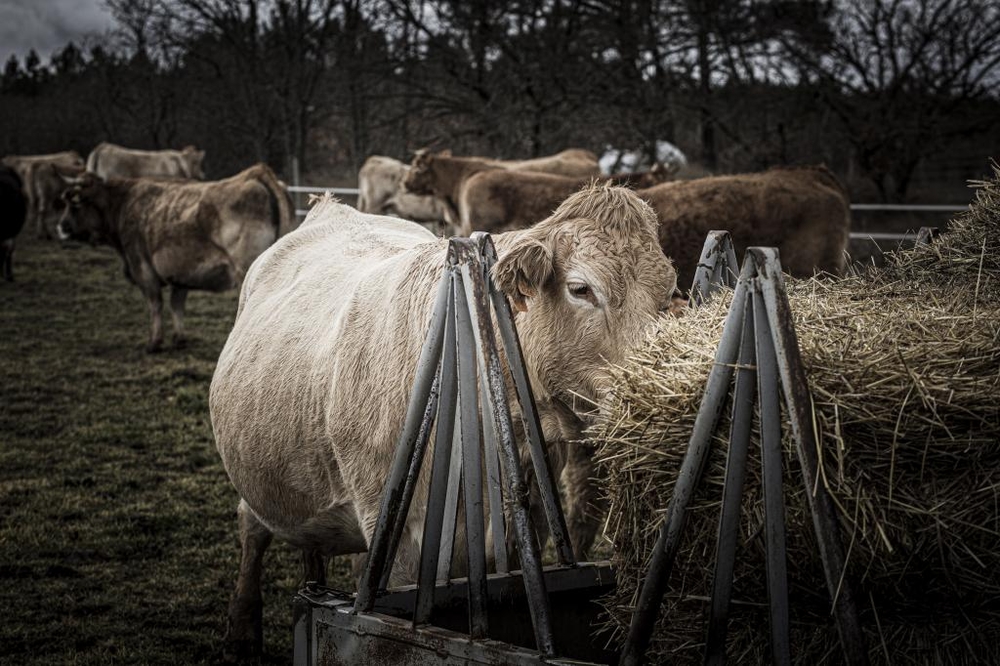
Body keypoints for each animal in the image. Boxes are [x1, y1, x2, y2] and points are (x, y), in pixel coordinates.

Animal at [56, 163, 292, 350]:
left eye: (73, 205)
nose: (61, 227)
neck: (121, 204)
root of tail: (256, 174)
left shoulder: (142, 267)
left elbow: (155, 304)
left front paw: (154, 342)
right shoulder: (182, 272)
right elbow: (177, 304)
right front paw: (179, 339)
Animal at [211, 183, 680, 660]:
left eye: (667, 295)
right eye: (581, 289)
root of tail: (331, 206)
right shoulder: (396, 540)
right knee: (252, 529)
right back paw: (241, 634)